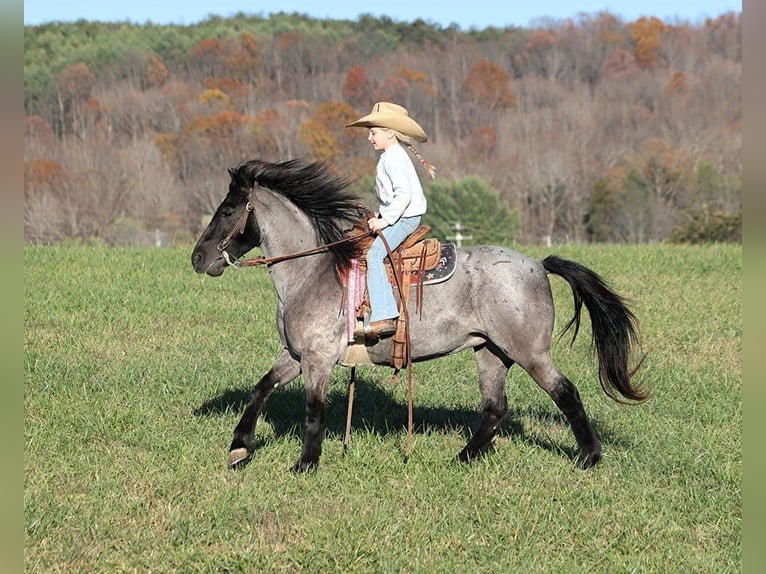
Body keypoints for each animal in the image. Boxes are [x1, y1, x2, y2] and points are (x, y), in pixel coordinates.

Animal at [191, 158, 647, 472]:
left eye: (229, 210)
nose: (198, 258)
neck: (312, 273)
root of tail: (538, 263)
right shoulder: (296, 355)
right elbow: (260, 389)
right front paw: (239, 448)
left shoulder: (319, 359)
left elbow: (314, 410)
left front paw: (305, 463)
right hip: (490, 352)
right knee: (495, 408)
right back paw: (462, 458)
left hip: (530, 353)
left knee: (565, 393)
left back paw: (588, 457)